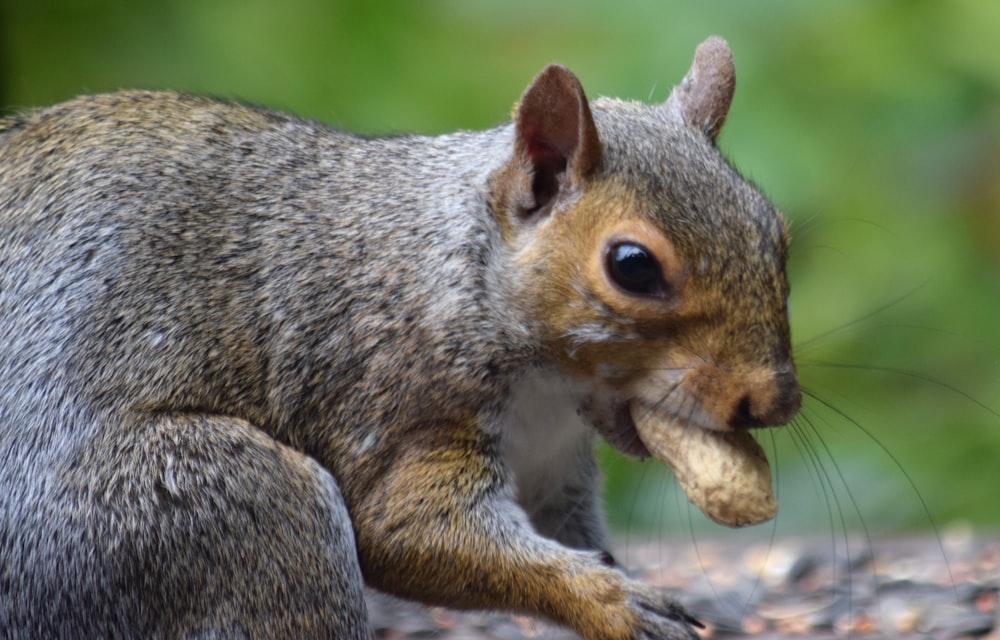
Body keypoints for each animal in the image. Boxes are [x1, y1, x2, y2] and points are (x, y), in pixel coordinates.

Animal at [0, 36, 796, 640]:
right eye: (632, 265)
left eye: (776, 230)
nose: (774, 401)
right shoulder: (397, 395)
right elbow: (407, 530)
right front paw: (611, 601)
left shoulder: (554, 468)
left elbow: (574, 534)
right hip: (215, 511)